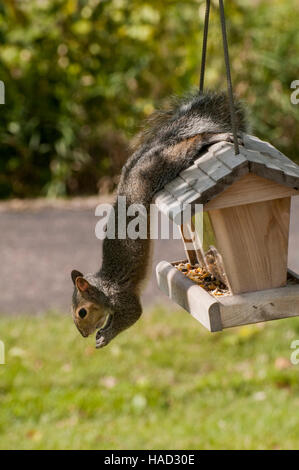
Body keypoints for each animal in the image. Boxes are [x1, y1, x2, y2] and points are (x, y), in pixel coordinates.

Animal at [70, 92, 248, 348]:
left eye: (82, 312)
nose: (83, 334)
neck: (103, 287)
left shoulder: (122, 298)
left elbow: (133, 314)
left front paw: (105, 336)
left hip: (162, 164)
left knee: (192, 142)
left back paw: (218, 136)